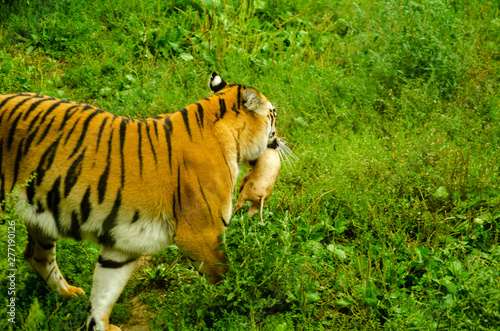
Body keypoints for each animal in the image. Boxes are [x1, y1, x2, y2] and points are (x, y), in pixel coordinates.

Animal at [0, 73, 282, 331]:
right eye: (274, 114)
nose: (279, 141)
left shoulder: (123, 244)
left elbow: (104, 292)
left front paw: (99, 325)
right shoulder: (201, 233)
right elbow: (225, 279)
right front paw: (237, 310)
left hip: (41, 216)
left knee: (36, 256)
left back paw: (69, 294)